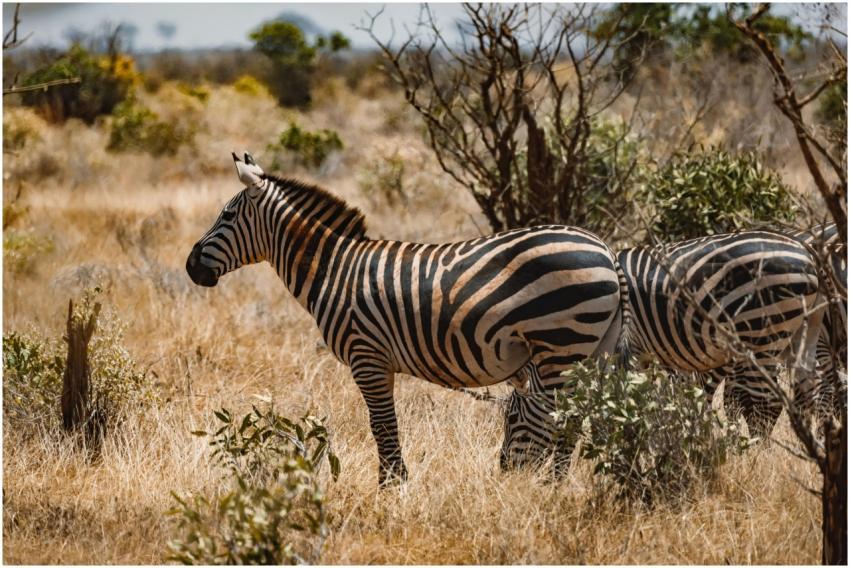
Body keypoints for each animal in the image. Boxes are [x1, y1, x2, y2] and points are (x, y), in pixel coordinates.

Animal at [186, 152, 625, 485]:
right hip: (591, 352)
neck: (333, 269)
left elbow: (382, 425)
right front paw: (394, 482)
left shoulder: (367, 357)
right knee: (576, 419)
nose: (190, 267)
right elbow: (385, 424)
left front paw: (392, 486)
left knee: (558, 419)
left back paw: (545, 487)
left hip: (561, 345)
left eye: (226, 216)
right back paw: (555, 487)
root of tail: (604, 248)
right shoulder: (378, 360)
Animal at [501, 229, 826, 463]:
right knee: (806, 393)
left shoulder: (624, 354)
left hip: (762, 336)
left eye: (511, 418)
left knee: (764, 405)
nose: (506, 468)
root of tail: (808, 255)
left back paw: (757, 460)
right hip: (803, 334)